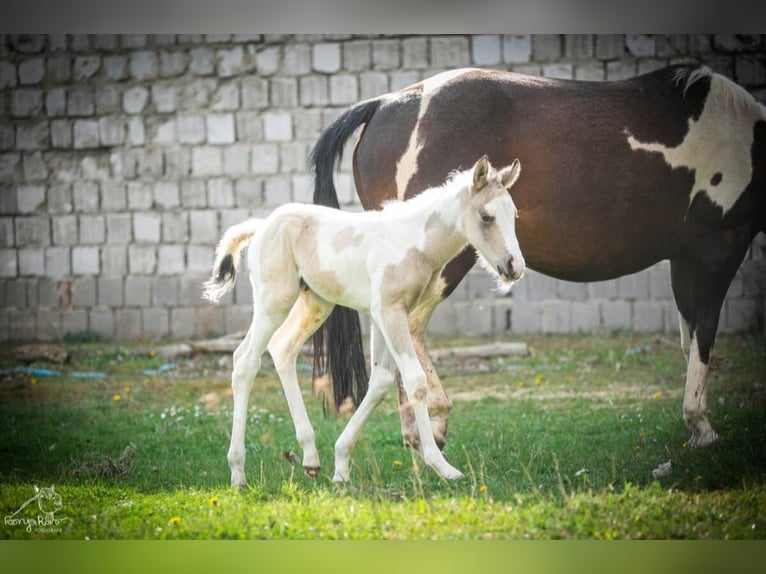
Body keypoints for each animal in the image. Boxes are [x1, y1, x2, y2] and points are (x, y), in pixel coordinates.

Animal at [203, 155, 524, 485]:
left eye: (512, 214)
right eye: (486, 216)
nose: (514, 266)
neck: (413, 242)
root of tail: (261, 226)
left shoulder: (385, 315)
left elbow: (381, 381)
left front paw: (341, 465)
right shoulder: (390, 311)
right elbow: (415, 382)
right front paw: (441, 465)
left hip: (316, 303)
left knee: (282, 348)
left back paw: (310, 458)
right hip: (273, 300)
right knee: (245, 360)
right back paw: (238, 472)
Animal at [310, 63, 766, 453]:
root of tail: (385, 103)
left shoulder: (683, 259)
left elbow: (689, 337)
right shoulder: (717, 249)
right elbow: (704, 334)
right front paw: (701, 426)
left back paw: (416, 433)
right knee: (409, 325)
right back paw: (432, 425)